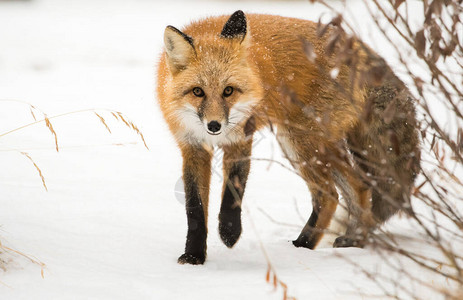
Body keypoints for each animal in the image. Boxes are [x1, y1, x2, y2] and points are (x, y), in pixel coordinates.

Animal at [158, 11, 422, 264]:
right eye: (197, 92)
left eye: (228, 91)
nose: (214, 126)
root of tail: (356, 46)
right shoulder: (192, 147)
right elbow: (194, 208)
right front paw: (193, 256)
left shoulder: (240, 140)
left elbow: (233, 192)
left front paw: (230, 233)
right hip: (313, 144)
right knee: (358, 187)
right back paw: (353, 241)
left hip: (299, 141)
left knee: (329, 195)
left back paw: (302, 246)